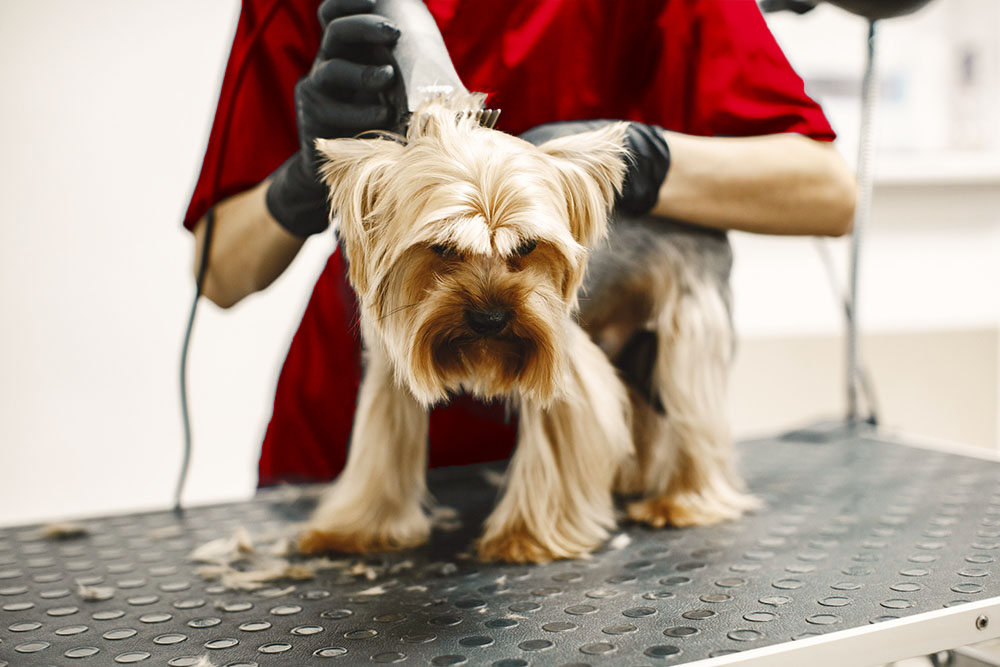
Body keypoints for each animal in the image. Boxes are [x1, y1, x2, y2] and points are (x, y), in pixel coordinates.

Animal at [296, 95, 756, 564]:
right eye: (442, 247)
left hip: (690, 322)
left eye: (528, 245)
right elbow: (381, 444)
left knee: (692, 407)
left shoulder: (558, 352)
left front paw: (525, 538)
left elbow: (556, 443)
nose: (490, 318)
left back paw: (682, 502)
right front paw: (355, 530)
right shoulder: (391, 360)